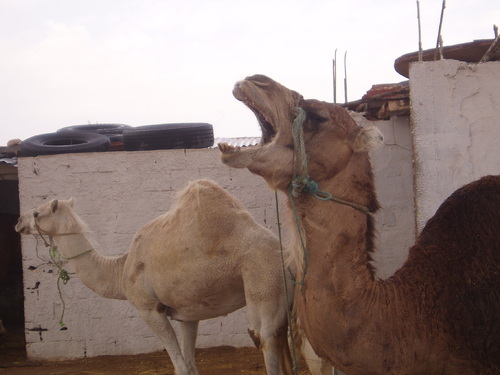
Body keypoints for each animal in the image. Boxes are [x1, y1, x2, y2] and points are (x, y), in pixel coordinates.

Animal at [17, 179, 294, 375]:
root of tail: (288, 256)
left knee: (265, 338)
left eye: (38, 213)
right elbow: (191, 364)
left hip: (263, 280)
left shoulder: (150, 309)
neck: (121, 271)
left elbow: (180, 366)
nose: (18, 221)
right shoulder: (188, 312)